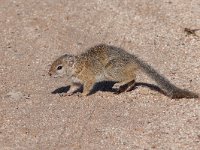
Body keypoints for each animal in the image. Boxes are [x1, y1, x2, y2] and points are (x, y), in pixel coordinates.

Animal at [48, 43, 198, 98]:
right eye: (53, 64)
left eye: (59, 67)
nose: (49, 73)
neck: (78, 66)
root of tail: (134, 60)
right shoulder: (76, 81)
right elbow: (72, 88)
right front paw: (66, 93)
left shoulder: (88, 78)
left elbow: (87, 87)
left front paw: (83, 95)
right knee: (134, 79)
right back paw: (126, 88)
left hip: (111, 70)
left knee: (131, 76)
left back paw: (119, 85)